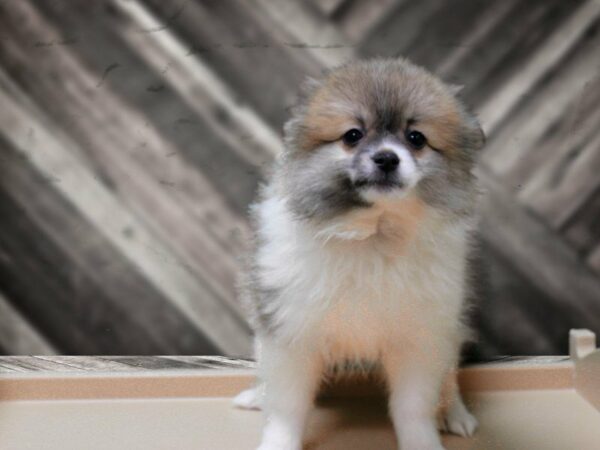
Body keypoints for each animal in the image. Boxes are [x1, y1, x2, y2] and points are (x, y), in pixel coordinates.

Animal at [237, 57, 486, 450]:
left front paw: (423, 441)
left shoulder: (421, 338)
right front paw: (278, 441)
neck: (372, 233)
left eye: (416, 138)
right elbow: (287, 407)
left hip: (450, 330)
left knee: (449, 377)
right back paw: (254, 395)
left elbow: (414, 407)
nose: (386, 158)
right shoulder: (291, 332)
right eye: (352, 135)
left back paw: (455, 412)